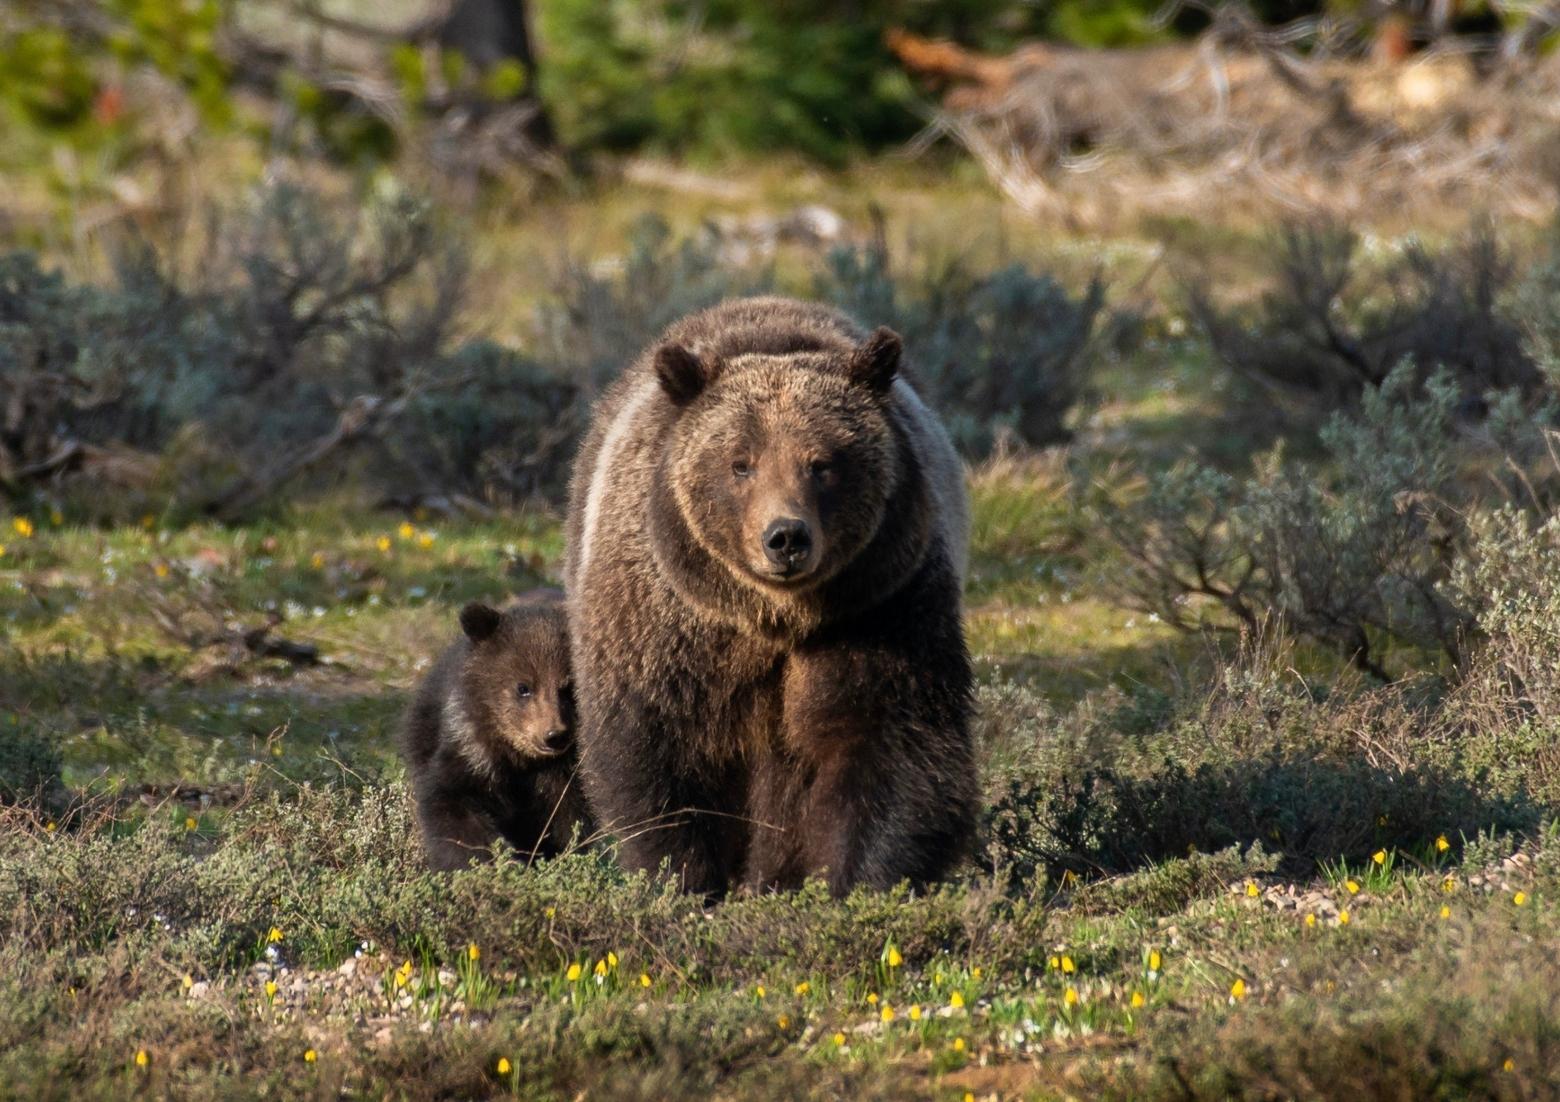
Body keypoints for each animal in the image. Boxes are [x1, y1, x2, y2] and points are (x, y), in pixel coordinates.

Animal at [400, 589, 593, 871]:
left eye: (568, 687)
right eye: (523, 687)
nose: (554, 735)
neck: (520, 759)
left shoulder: (564, 773)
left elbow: (567, 821)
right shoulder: (472, 752)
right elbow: (454, 806)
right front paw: (489, 859)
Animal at [564, 296, 974, 899]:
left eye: (823, 462)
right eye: (741, 462)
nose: (785, 537)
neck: (774, 617)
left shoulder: (881, 607)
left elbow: (888, 741)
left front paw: (856, 881)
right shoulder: (669, 626)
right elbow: (656, 750)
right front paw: (688, 877)